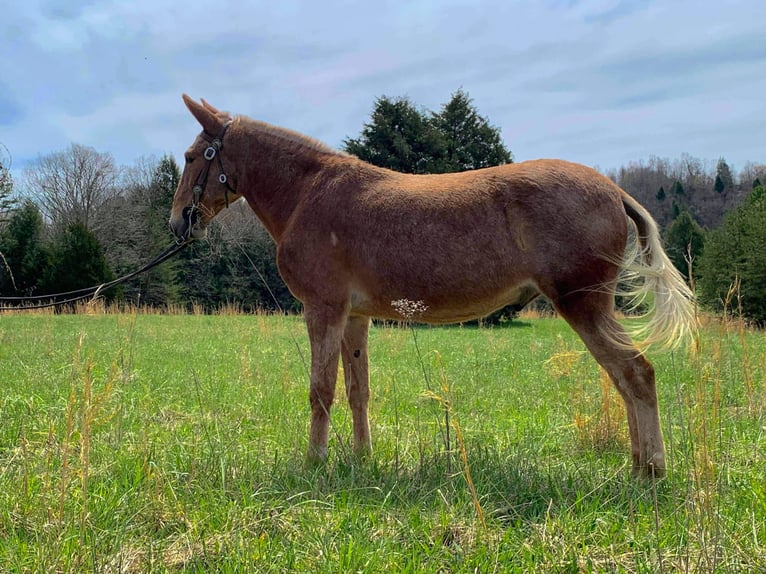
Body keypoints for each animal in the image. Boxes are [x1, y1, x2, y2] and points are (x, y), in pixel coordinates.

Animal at [171, 95, 700, 482]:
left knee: (636, 374)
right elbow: (358, 389)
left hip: (585, 305)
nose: (178, 221)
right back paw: (638, 464)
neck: (308, 192)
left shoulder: (324, 308)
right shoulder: (355, 315)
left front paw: (313, 464)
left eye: (193, 156)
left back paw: (651, 471)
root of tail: (614, 190)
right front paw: (362, 459)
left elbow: (321, 389)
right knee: (623, 378)